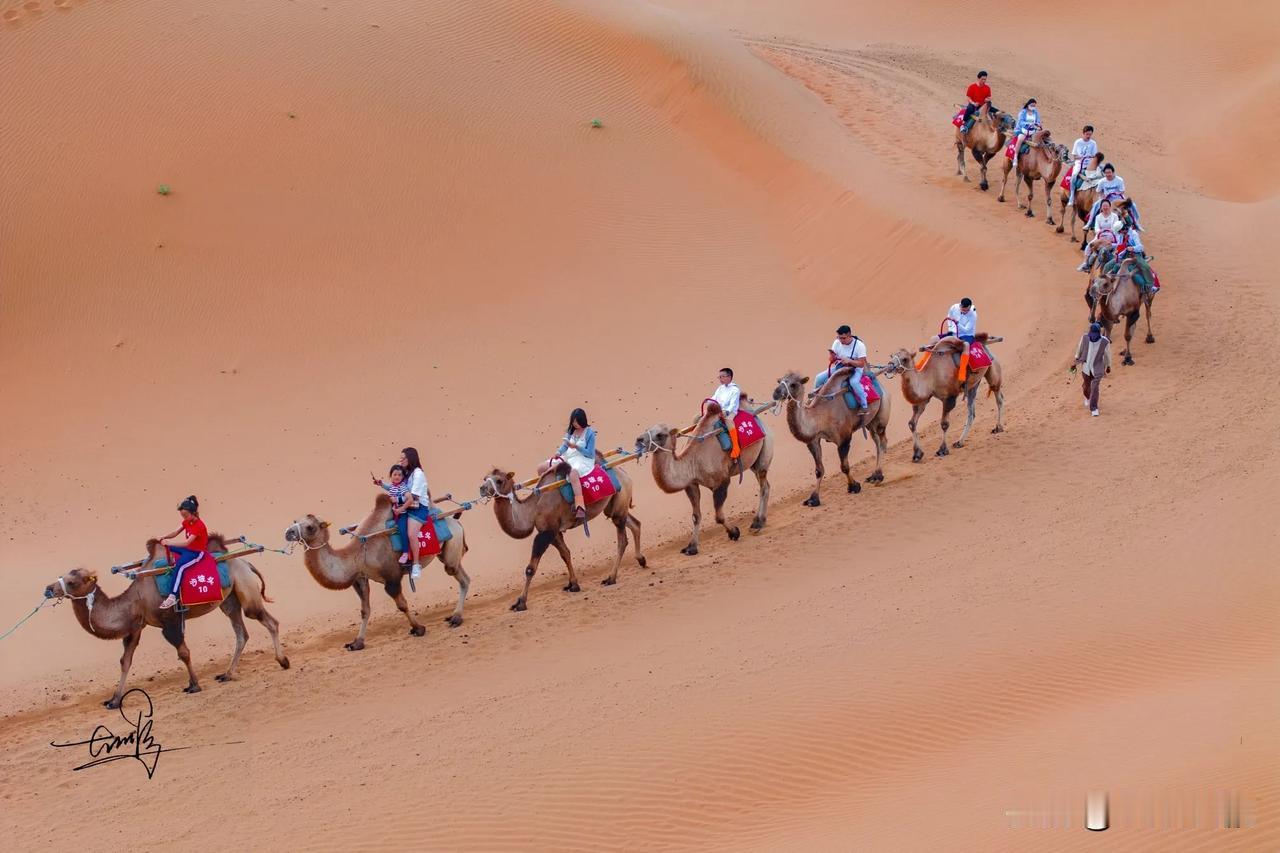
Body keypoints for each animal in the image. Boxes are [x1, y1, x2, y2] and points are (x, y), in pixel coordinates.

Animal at [43, 535, 290, 706]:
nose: (48, 589)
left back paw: (283, 661)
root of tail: (246, 564)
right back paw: (227, 675)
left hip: (246, 591)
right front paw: (114, 700)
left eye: (72, 581)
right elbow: (125, 661)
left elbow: (184, 653)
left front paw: (194, 685)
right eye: (63, 575)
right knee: (241, 633)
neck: (137, 598)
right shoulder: (136, 626)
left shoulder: (169, 622)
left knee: (268, 621)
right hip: (229, 600)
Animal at [282, 489, 473, 648]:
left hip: (453, 543)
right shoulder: (360, 578)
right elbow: (365, 610)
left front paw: (418, 628)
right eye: (295, 521)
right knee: (462, 574)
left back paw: (456, 618)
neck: (357, 554)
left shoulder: (392, 577)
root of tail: (454, 520)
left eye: (310, 527)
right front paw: (357, 642)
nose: (288, 532)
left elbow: (402, 605)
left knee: (459, 575)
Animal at [478, 455, 645, 607]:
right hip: (614, 507)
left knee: (622, 541)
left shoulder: (546, 532)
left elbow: (530, 568)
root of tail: (623, 472)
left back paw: (611, 578)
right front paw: (573, 585)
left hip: (619, 502)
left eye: (499, 480)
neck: (533, 508)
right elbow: (565, 554)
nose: (482, 489)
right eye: (485, 478)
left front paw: (520, 602)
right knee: (635, 524)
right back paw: (641, 560)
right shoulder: (554, 532)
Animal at [634, 399, 773, 555]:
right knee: (765, 484)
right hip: (753, 463)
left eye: (660, 434)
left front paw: (734, 533)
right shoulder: (692, 485)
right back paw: (759, 521)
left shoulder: (722, 482)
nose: (639, 439)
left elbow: (719, 516)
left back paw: (757, 523)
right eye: (647, 428)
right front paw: (691, 547)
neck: (693, 462)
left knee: (763, 486)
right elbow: (696, 516)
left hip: (765, 450)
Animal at [768, 366, 890, 504]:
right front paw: (813, 499)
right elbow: (819, 470)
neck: (820, 417)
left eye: (793, 384)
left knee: (882, 441)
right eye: (779, 381)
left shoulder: (844, 438)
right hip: (870, 422)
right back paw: (874, 475)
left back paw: (878, 476)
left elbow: (844, 466)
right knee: (876, 441)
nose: (776, 393)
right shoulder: (813, 441)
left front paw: (854, 486)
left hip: (882, 413)